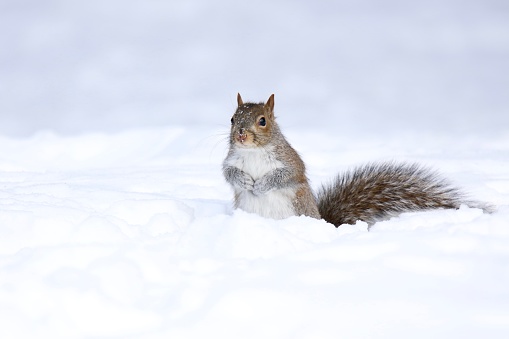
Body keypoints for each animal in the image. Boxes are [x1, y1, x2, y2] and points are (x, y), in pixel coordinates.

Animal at [221, 92, 488, 228]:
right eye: (233, 119)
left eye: (263, 120)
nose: (241, 135)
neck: (253, 151)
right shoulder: (231, 159)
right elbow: (228, 172)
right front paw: (244, 181)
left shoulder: (290, 162)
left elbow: (286, 175)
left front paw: (261, 184)